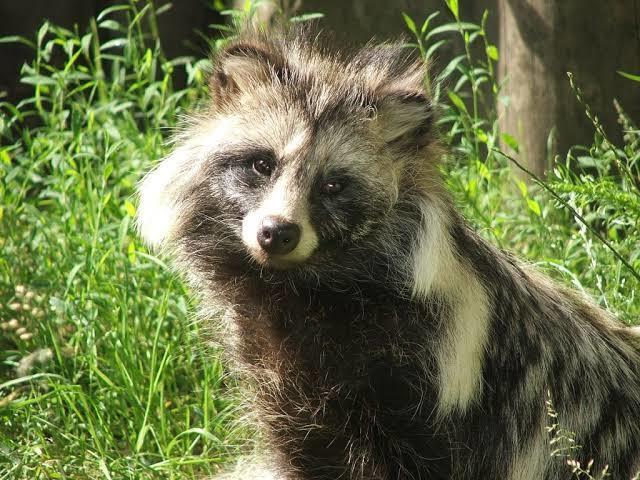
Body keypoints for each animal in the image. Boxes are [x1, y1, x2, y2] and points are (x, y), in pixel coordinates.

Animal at [138, 27, 640, 480]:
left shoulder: (442, 380)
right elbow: (302, 451)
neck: (305, 291)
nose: (276, 233)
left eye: (333, 185)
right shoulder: (286, 386)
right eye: (263, 163)